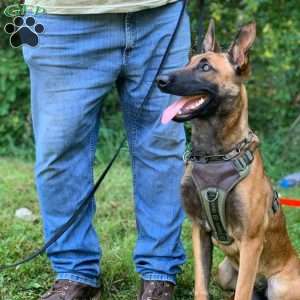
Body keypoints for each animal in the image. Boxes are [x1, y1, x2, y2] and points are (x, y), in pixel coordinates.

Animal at [157, 20, 300, 300]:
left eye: (205, 67)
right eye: (188, 61)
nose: (160, 80)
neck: (214, 156)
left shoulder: (251, 242)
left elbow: (242, 292)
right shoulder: (199, 230)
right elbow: (201, 286)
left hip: (280, 285)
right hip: (224, 272)